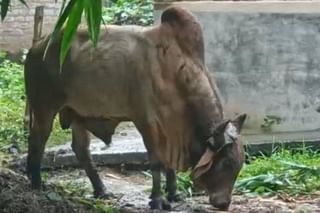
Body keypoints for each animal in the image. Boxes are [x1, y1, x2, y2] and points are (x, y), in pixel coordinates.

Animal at [25, 6, 246, 210]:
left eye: (240, 163)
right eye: (226, 163)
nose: (224, 203)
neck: (176, 73)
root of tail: (36, 47)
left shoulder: (169, 129)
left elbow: (169, 165)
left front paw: (174, 194)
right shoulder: (147, 122)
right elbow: (156, 162)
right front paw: (157, 200)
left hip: (78, 114)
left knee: (81, 149)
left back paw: (101, 190)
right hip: (44, 108)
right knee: (37, 140)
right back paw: (36, 183)